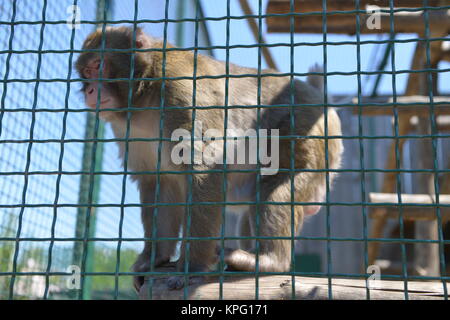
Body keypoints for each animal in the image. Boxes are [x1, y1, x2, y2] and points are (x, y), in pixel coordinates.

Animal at [75, 26, 344, 292]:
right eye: (86, 72)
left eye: (98, 65)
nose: (89, 90)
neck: (145, 93)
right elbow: (158, 183)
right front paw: (154, 259)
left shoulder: (182, 95)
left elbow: (204, 172)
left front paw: (191, 267)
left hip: (307, 133)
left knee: (275, 185)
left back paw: (269, 260)